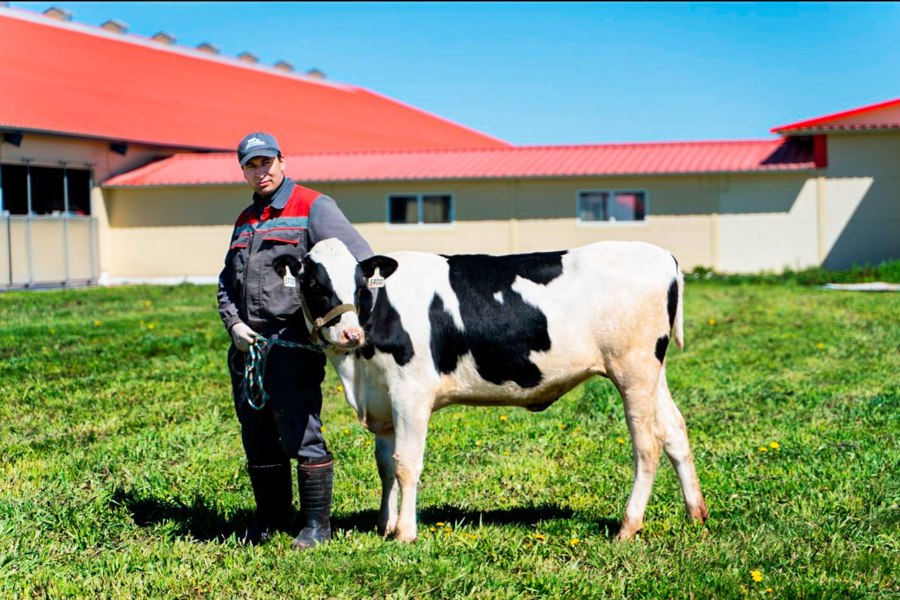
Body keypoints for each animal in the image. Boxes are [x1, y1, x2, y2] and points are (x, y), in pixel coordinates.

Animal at [270, 239, 708, 544]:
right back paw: (696, 514)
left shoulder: (411, 391)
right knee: (675, 431)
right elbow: (385, 467)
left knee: (647, 443)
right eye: (314, 283)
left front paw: (405, 532)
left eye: (360, 284)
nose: (350, 333)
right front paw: (385, 524)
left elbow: (406, 464)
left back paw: (628, 526)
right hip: (653, 373)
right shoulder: (383, 398)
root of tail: (660, 254)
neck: (358, 370)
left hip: (633, 369)